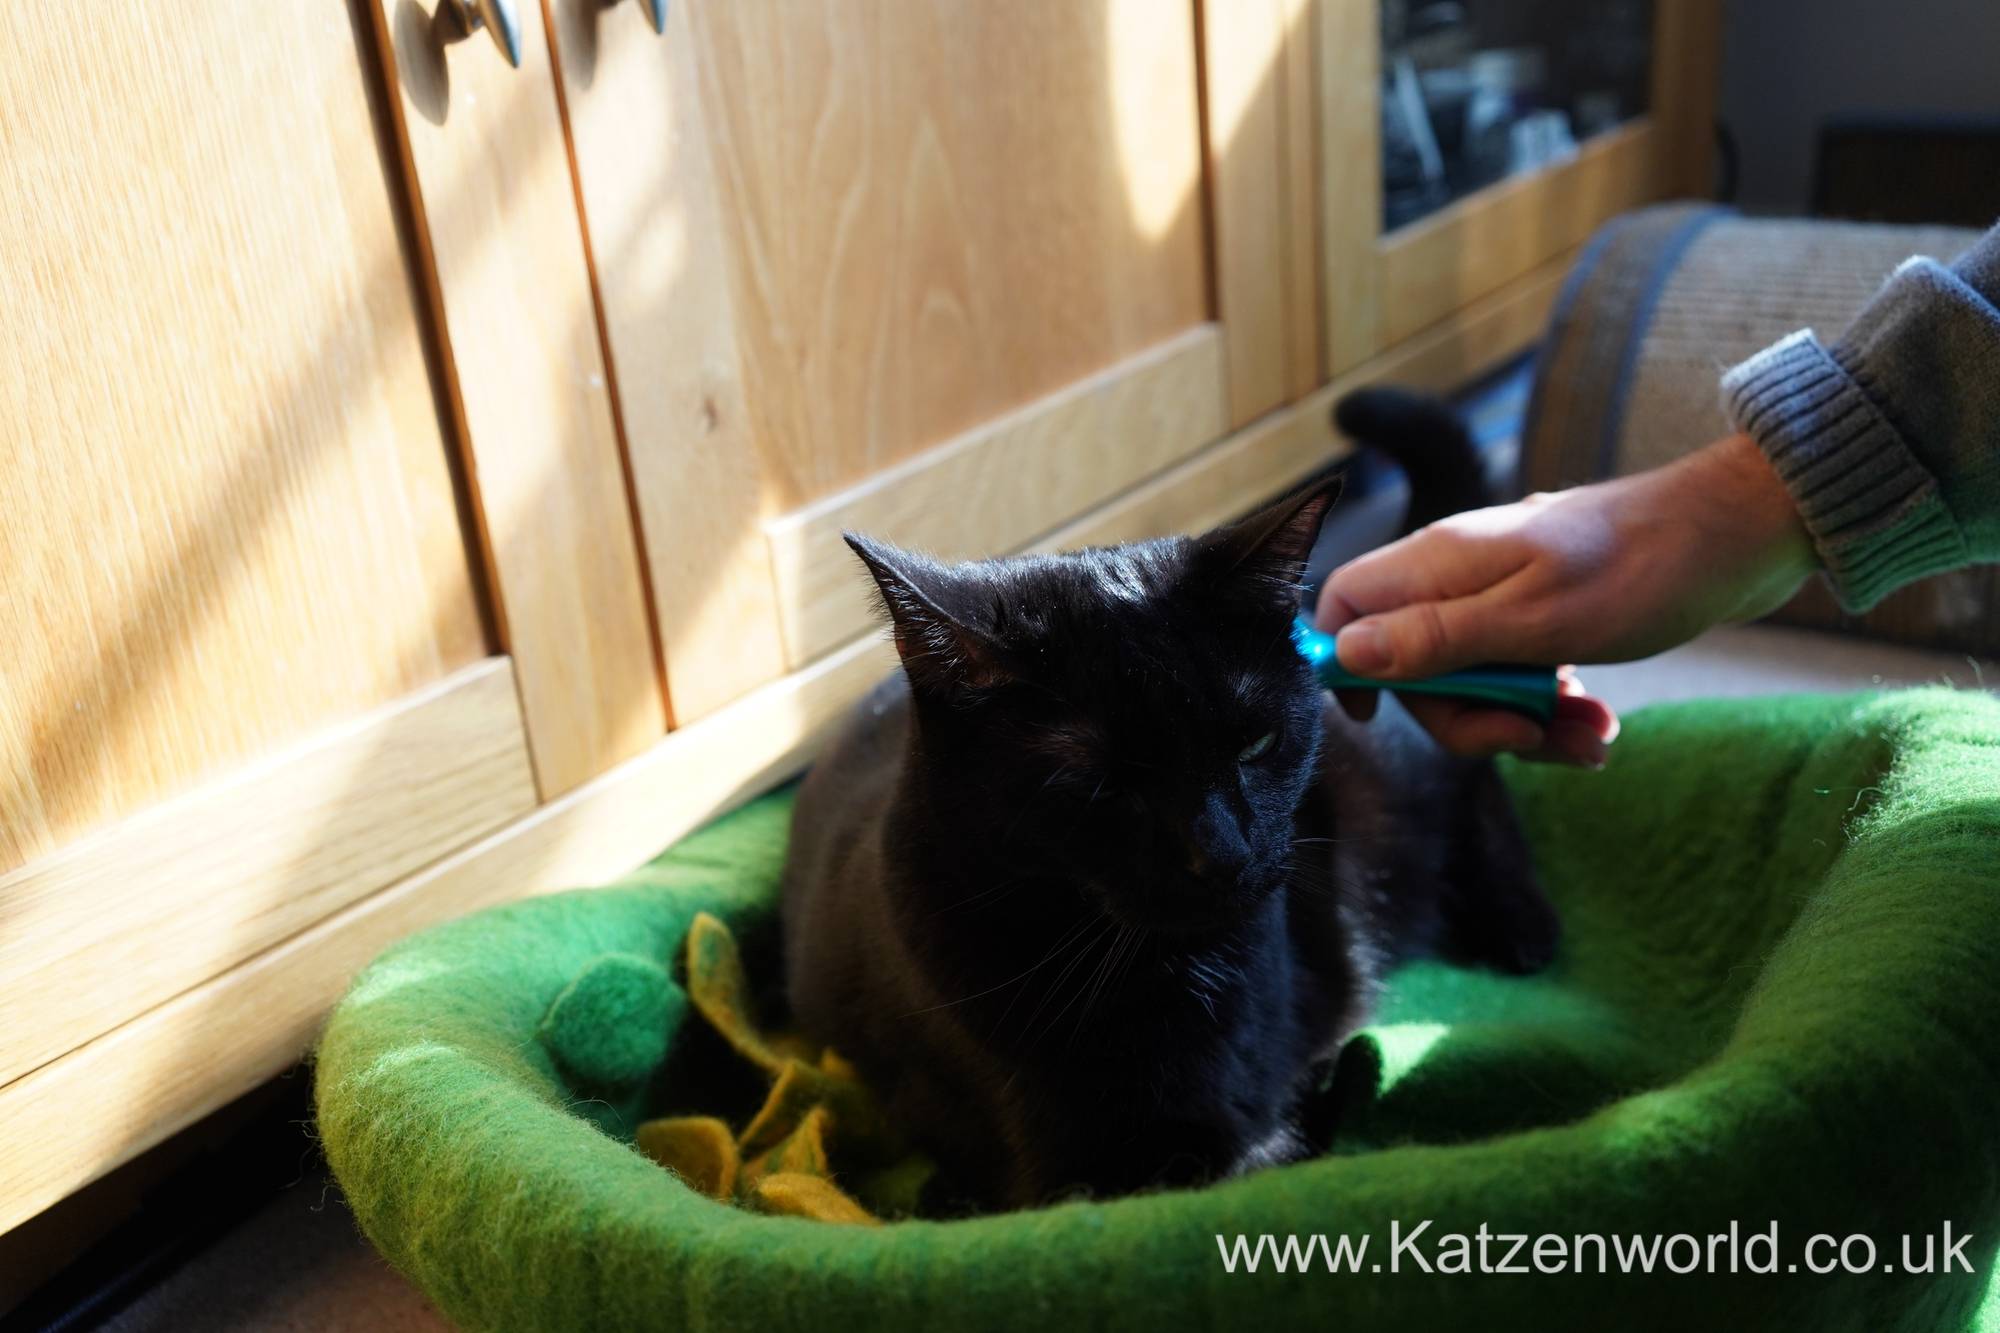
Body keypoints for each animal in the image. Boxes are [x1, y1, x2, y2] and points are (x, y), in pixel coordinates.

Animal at [779, 387, 1559, 1210]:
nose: (1222, 854)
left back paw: (1520, 922)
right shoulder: (1058, 1169)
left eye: (1255, 744)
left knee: (1474, 764)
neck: (1143, 976)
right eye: (1096, 784)